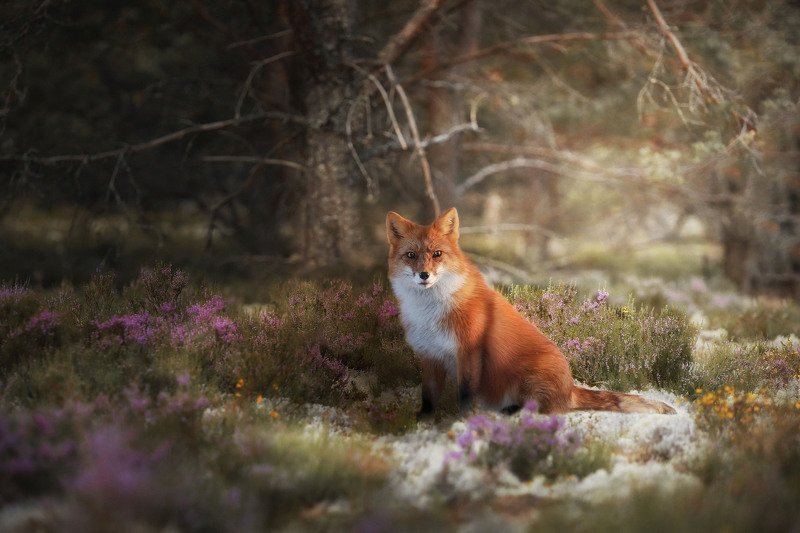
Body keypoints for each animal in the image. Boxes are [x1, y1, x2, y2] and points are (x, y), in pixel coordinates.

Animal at [386, 207, 676, 417]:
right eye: (411, 255)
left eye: (437, 254)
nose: (424, 275)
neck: (430, 312)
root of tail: (570, 387)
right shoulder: (429, 353)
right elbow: (428, 395)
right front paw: (423, 420)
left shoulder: (468, 350)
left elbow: (467, 395)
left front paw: (461, 421)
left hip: (528, 376)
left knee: (544, 409)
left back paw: (511, 410)